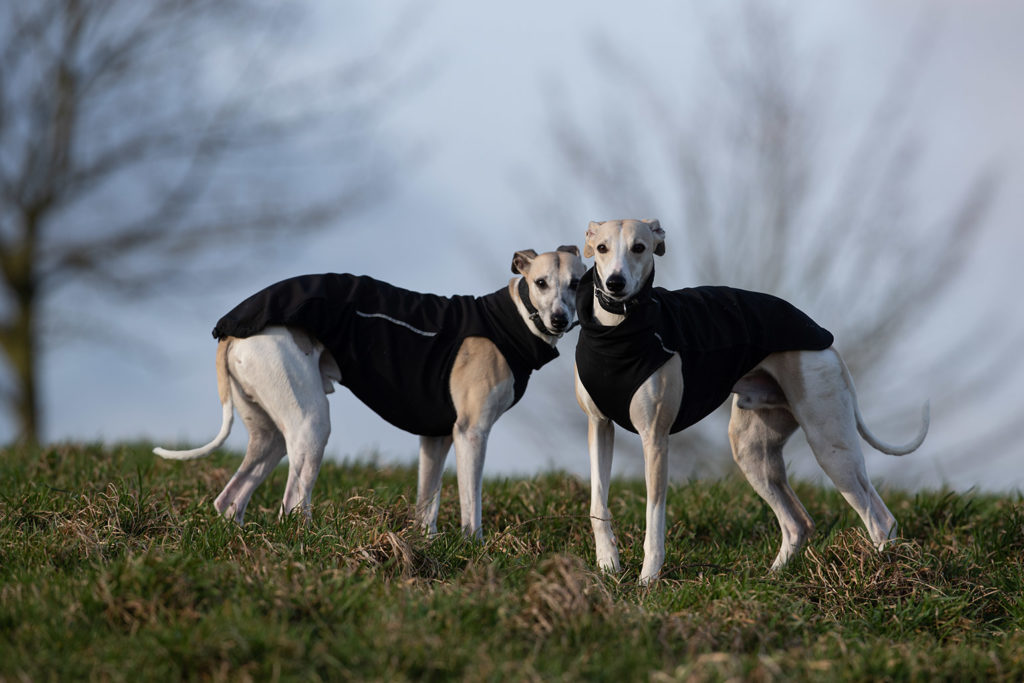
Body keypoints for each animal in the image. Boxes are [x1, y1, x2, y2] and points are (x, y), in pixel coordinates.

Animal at [152, 246, 585, 540]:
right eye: (541, 283)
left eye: (576, 284)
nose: (560, 319)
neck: (511, 320)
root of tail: (231, 328)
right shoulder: (470, 432)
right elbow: (471, 504)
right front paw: (473, 547)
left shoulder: (436, 437)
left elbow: (427, 504)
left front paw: (426, 546)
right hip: (311, 424)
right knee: (290, 504)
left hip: (269, 434)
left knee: (231, 498)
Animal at [577, 222, 929, 585]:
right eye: (602, 247)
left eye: (639, 247)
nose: (615, 283)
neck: (619, 332)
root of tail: (824, 338)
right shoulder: (598, 426)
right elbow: (597, 503)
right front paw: (607, 564)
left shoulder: (655, 439)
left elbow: (654, 517)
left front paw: (647, 580)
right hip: (752, 449)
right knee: (798, 523)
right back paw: (771, 580)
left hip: (831, 445)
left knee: (880, 519)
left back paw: (881, 574)